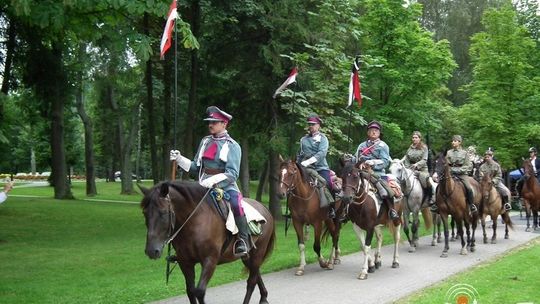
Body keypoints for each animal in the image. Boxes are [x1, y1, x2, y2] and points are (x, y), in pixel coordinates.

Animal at [140, 182, 274, 302]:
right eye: (145, 213)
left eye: (163, 213)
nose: (151, 251)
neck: (194, 222)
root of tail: (265, 209)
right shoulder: (185, 262)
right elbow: (190, 291)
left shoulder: (210, 260)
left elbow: (199, 291)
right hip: (247, 256)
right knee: (256, 273)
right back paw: (264, 297)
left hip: (258, 252)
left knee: (251, 281)